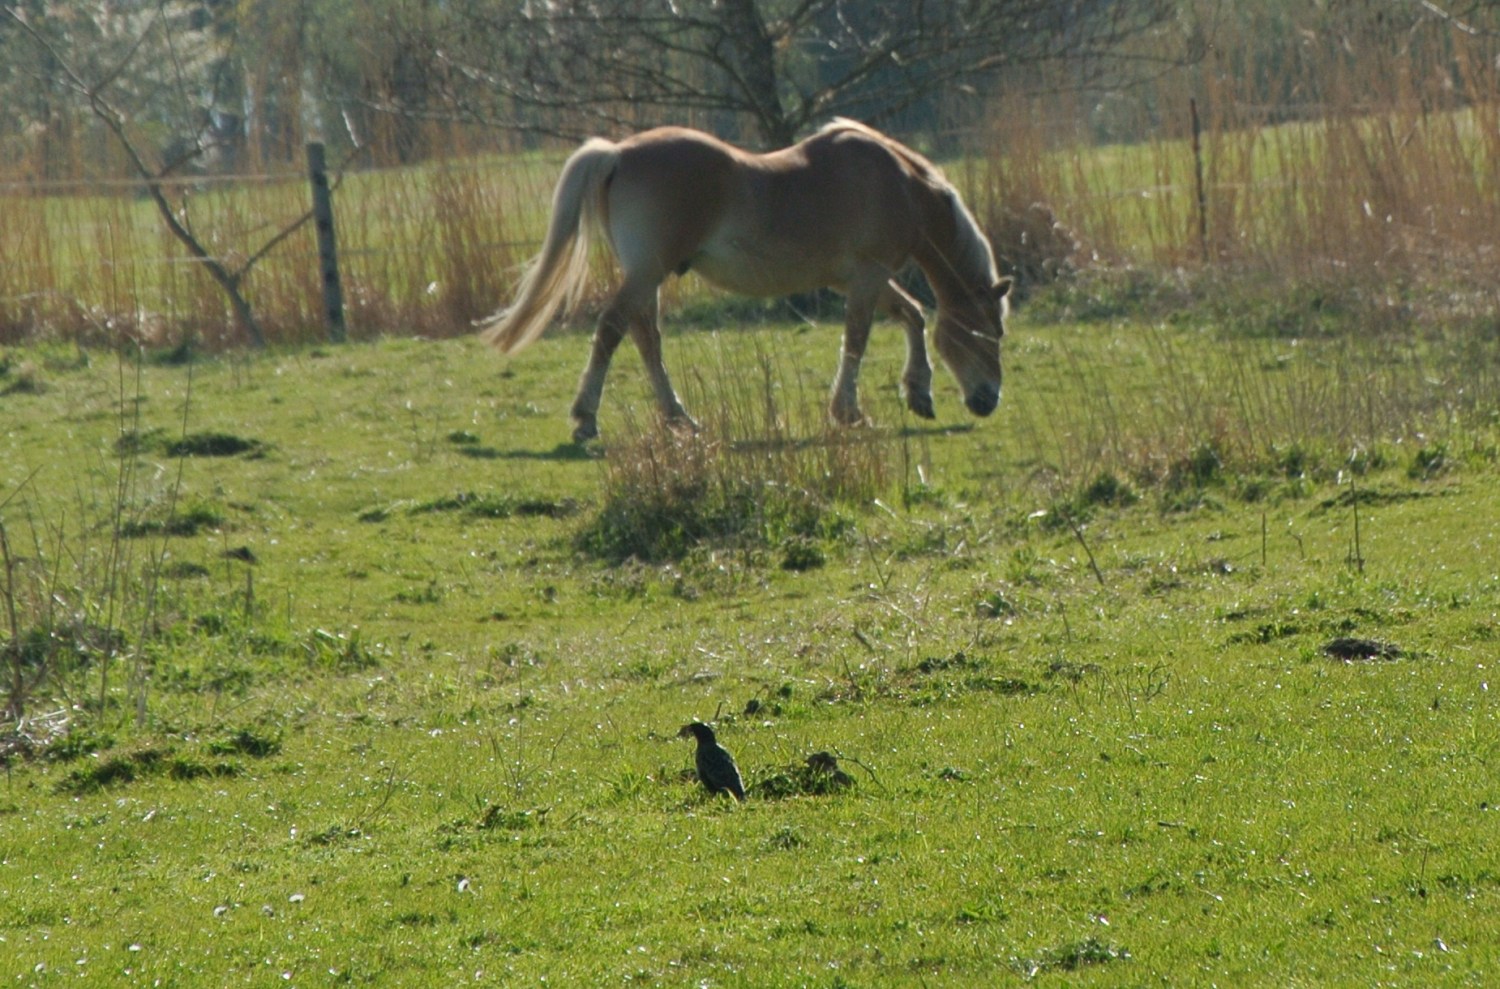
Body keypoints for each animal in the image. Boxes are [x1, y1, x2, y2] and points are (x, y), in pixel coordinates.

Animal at [478, 119, 1012, 442]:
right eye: (987, 334)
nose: (989, 401)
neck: (899, 184)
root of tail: (618, 153)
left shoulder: (858, 279)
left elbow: (912, 316)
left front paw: (918, 393)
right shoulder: (867, 275)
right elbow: (858, 338)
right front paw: (849, 411)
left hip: (648, 278)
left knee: (645, 338)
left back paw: (679, 418)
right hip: (647, 272)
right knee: (613, 329)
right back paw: (586, 419)